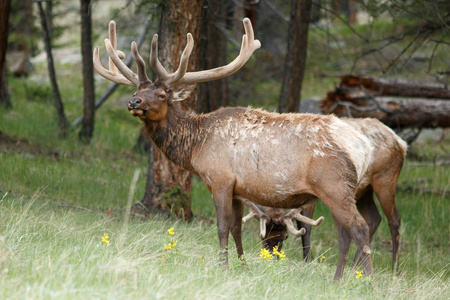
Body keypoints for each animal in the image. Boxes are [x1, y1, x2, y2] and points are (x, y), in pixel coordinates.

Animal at [93, 18, 406, 282]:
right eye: (136, 91)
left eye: (161, 94)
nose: (133, 103)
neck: (196, 146)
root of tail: (363, 145)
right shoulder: (238, 189)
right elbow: (236, 228)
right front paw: (241, 266)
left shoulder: (220, 179)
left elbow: (221, 227)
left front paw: (222, 267)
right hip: (342, 189)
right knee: (346, 231)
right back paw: (338, 279)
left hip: (338, 184)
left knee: (361, 226)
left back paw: (370, 281)